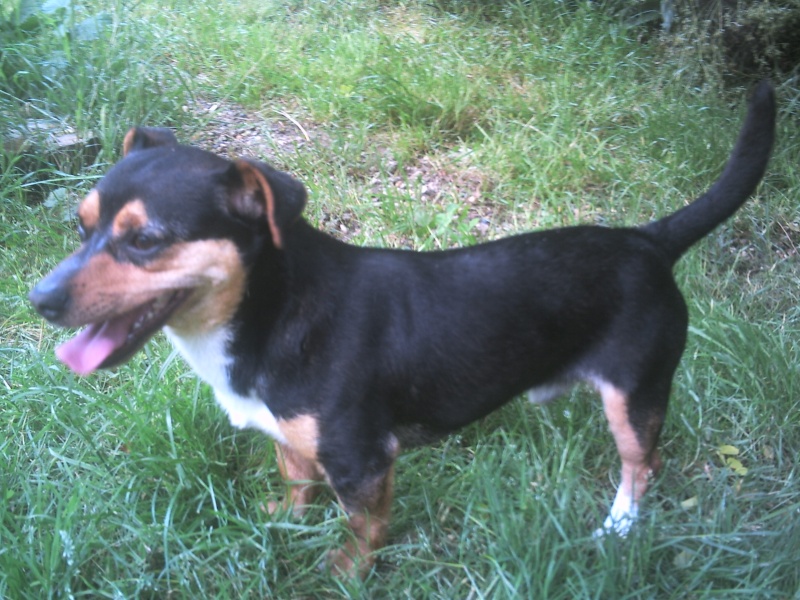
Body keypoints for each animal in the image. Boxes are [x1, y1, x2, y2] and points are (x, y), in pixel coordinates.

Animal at [31, 81, 776, 576]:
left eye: (146, 240)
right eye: (81, 225)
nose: (39, 299)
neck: (270, 313)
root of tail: (648, 240)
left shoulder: (363, 462)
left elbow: (362, 534)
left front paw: (338, 575)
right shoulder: (296, 443)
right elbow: (296, 486)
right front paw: (281, 526)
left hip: (635, 391)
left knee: (641, 464)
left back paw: (618, 528)